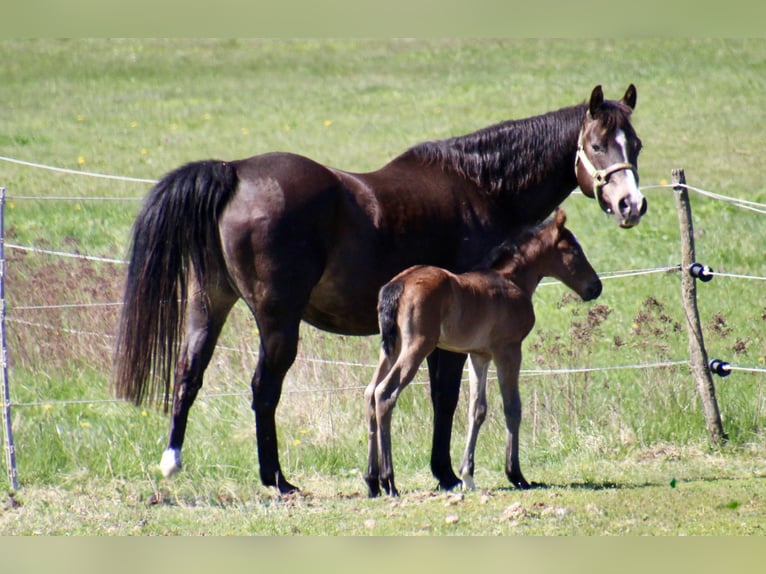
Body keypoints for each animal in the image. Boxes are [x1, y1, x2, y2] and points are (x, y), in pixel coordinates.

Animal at [364, 208, 601, 497]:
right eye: (573, 250)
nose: (596, 287)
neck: (511, 280)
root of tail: (397, 284)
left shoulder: (479, 355)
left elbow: (477, 409)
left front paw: (468, 475)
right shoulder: (508, 350)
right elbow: (512, 407)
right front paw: (516, 475)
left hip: (390, 348)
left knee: (370, 393)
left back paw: (372, 482)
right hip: (416, 347)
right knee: (385, 393)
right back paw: (389, 481)